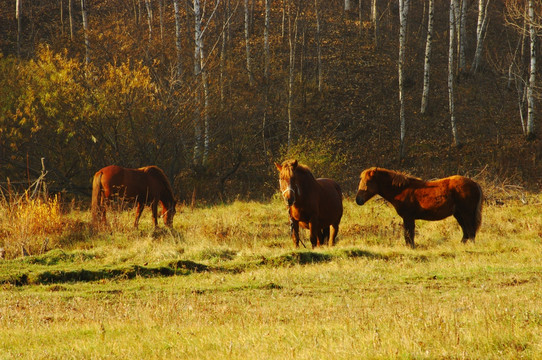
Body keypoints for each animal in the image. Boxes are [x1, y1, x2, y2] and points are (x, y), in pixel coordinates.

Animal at [356, 167, 484, 248]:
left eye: (368, 182)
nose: (358, 200)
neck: (402, 190)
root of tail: (474, 183)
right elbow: (409, 233)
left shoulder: (408, 217)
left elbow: (409, 233)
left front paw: (411, 247)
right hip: (458, 214)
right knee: (466, 231)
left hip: (466, 213)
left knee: (470, 231)